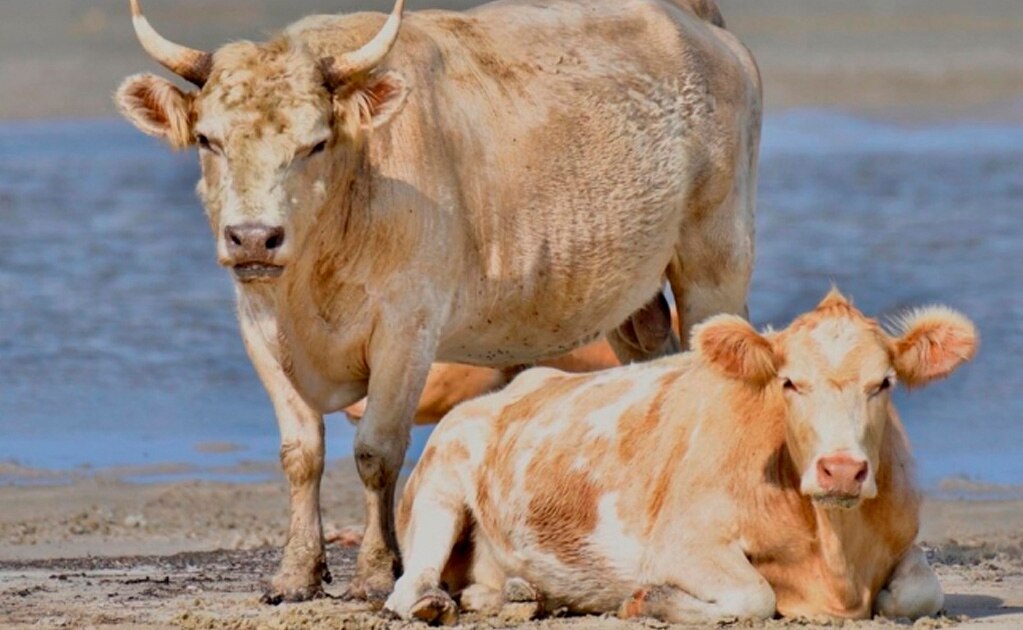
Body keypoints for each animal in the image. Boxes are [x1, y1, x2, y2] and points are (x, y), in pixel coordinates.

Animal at [115, 0, 761, 602]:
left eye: (315, 143)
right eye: (208, 139)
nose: (253, 237)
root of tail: (695, 24)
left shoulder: (408, 328)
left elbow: (376, 451)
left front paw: (377, 573)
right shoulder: (259, 326)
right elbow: (301, 452)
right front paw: (296, 574)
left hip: (715, 259)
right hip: (633, 297)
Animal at [386, 290, 978, 624]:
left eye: (884, 383)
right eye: (789, 382)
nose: (842, 470)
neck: (834, 560)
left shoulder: (905, 541)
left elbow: (918, 593)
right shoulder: (679, 543)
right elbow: (755, 596)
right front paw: (650, 601)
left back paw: (521, 594)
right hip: (438, 483)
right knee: (409, 584)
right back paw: (433, 603)